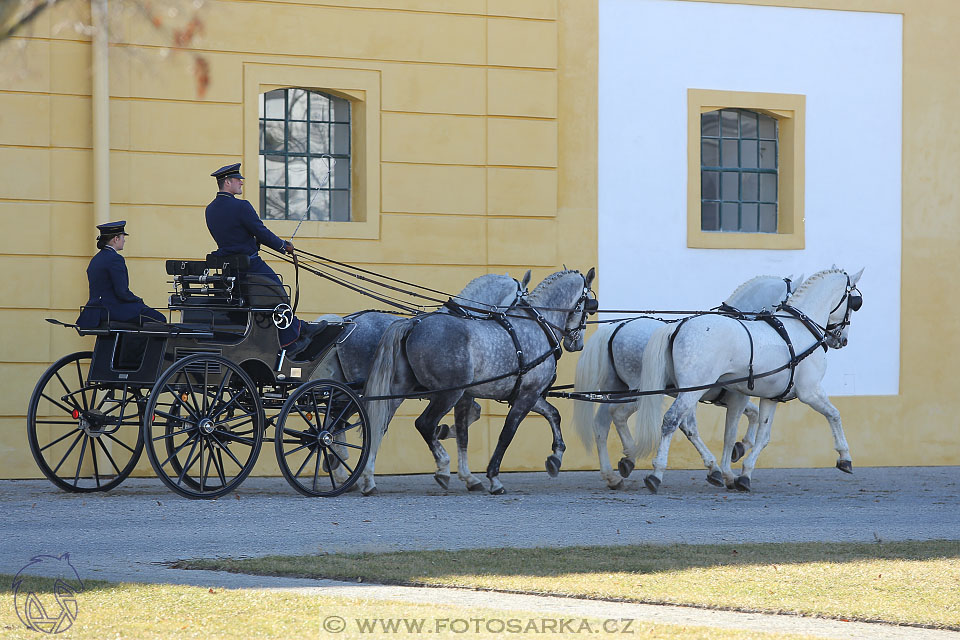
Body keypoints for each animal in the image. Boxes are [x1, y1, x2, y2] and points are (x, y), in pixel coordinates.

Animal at [364, 268, 596, 498]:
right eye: (590, 306)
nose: (577, 343)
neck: (538, 326)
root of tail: (413, 324)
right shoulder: (526, 395)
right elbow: (506, 434)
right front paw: (493, 477)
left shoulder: (527, 394)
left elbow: (552, 414)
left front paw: (556, 458)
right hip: (447, 394)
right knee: (424, 424)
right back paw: (443, 467)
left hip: (400, 390)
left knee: (378, 424)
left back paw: (368, 478)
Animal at [568, 272, 804, 488]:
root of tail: (615, 329)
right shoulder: (734, 395)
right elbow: (738, 423)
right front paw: (737, 451)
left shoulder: (720, 396)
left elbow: (748, 416)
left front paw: (737, 450)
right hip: (640, 392)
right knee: (618, 416)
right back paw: (632, 456)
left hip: (615, 389)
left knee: (601, 424)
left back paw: (613, 474)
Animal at [632, 268, 868, 492]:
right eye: (855, 303)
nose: (841, 339)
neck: (800, 330)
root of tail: (678, 326)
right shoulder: (809, 391)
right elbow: (834, 414)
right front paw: (845, 457)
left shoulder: (770, 397)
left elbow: (759, 436)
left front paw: (744, 474)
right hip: (692, 390)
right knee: (671, 420)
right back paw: (656, 473)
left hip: (688, 391)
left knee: (684, 424)